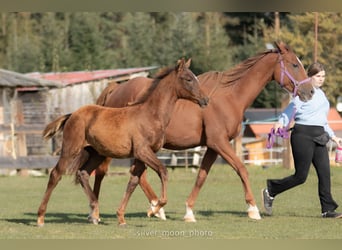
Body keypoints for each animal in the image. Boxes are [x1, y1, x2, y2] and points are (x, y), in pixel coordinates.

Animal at [36, 59, 208, 227]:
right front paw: (154, 209)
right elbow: (163, 171)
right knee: (56, 174)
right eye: (188, 79)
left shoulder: (142, 155)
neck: (150, 115)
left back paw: (95, 213)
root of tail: (72, 114)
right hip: (71, 149)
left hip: (97, 153)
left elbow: (133, 181)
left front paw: (121, 217)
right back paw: (41, 218)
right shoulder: (142, 151)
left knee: (83, 173)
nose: (205, 100)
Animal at [89, 41, 316, 223]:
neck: (230, 96)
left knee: (136, 174)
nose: (310, 92)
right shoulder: (219, 143)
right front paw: (253, 209)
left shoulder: (213, 147)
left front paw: (189, 212)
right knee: (110, 172)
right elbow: (242, 169)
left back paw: (154, 208)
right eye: (295, 65)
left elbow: (201, 176)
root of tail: (116, 88)